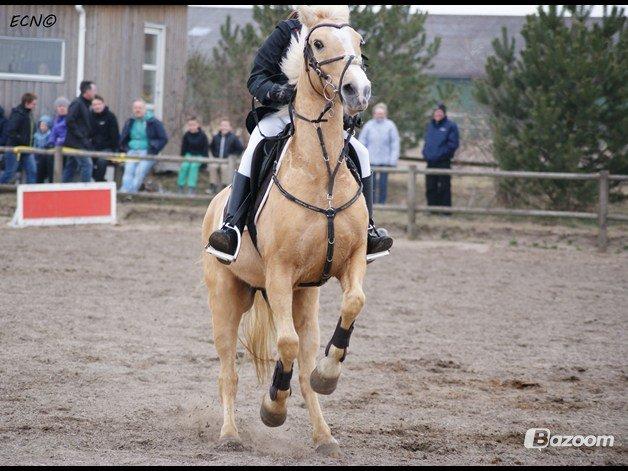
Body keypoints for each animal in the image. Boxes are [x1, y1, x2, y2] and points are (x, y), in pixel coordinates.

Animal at [201, 6, 370, 458]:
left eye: (359, 42)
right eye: (317, 43)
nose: (358, 91)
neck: (322, 172)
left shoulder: (352, 261)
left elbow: (354, 303)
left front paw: (329, 373)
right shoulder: (278, 274)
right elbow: (286, 345)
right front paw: (273, 407)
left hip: (304, 298)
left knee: (304, 364)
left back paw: (324, 436)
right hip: (226, 300)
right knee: (229, 371)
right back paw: (229, 434)